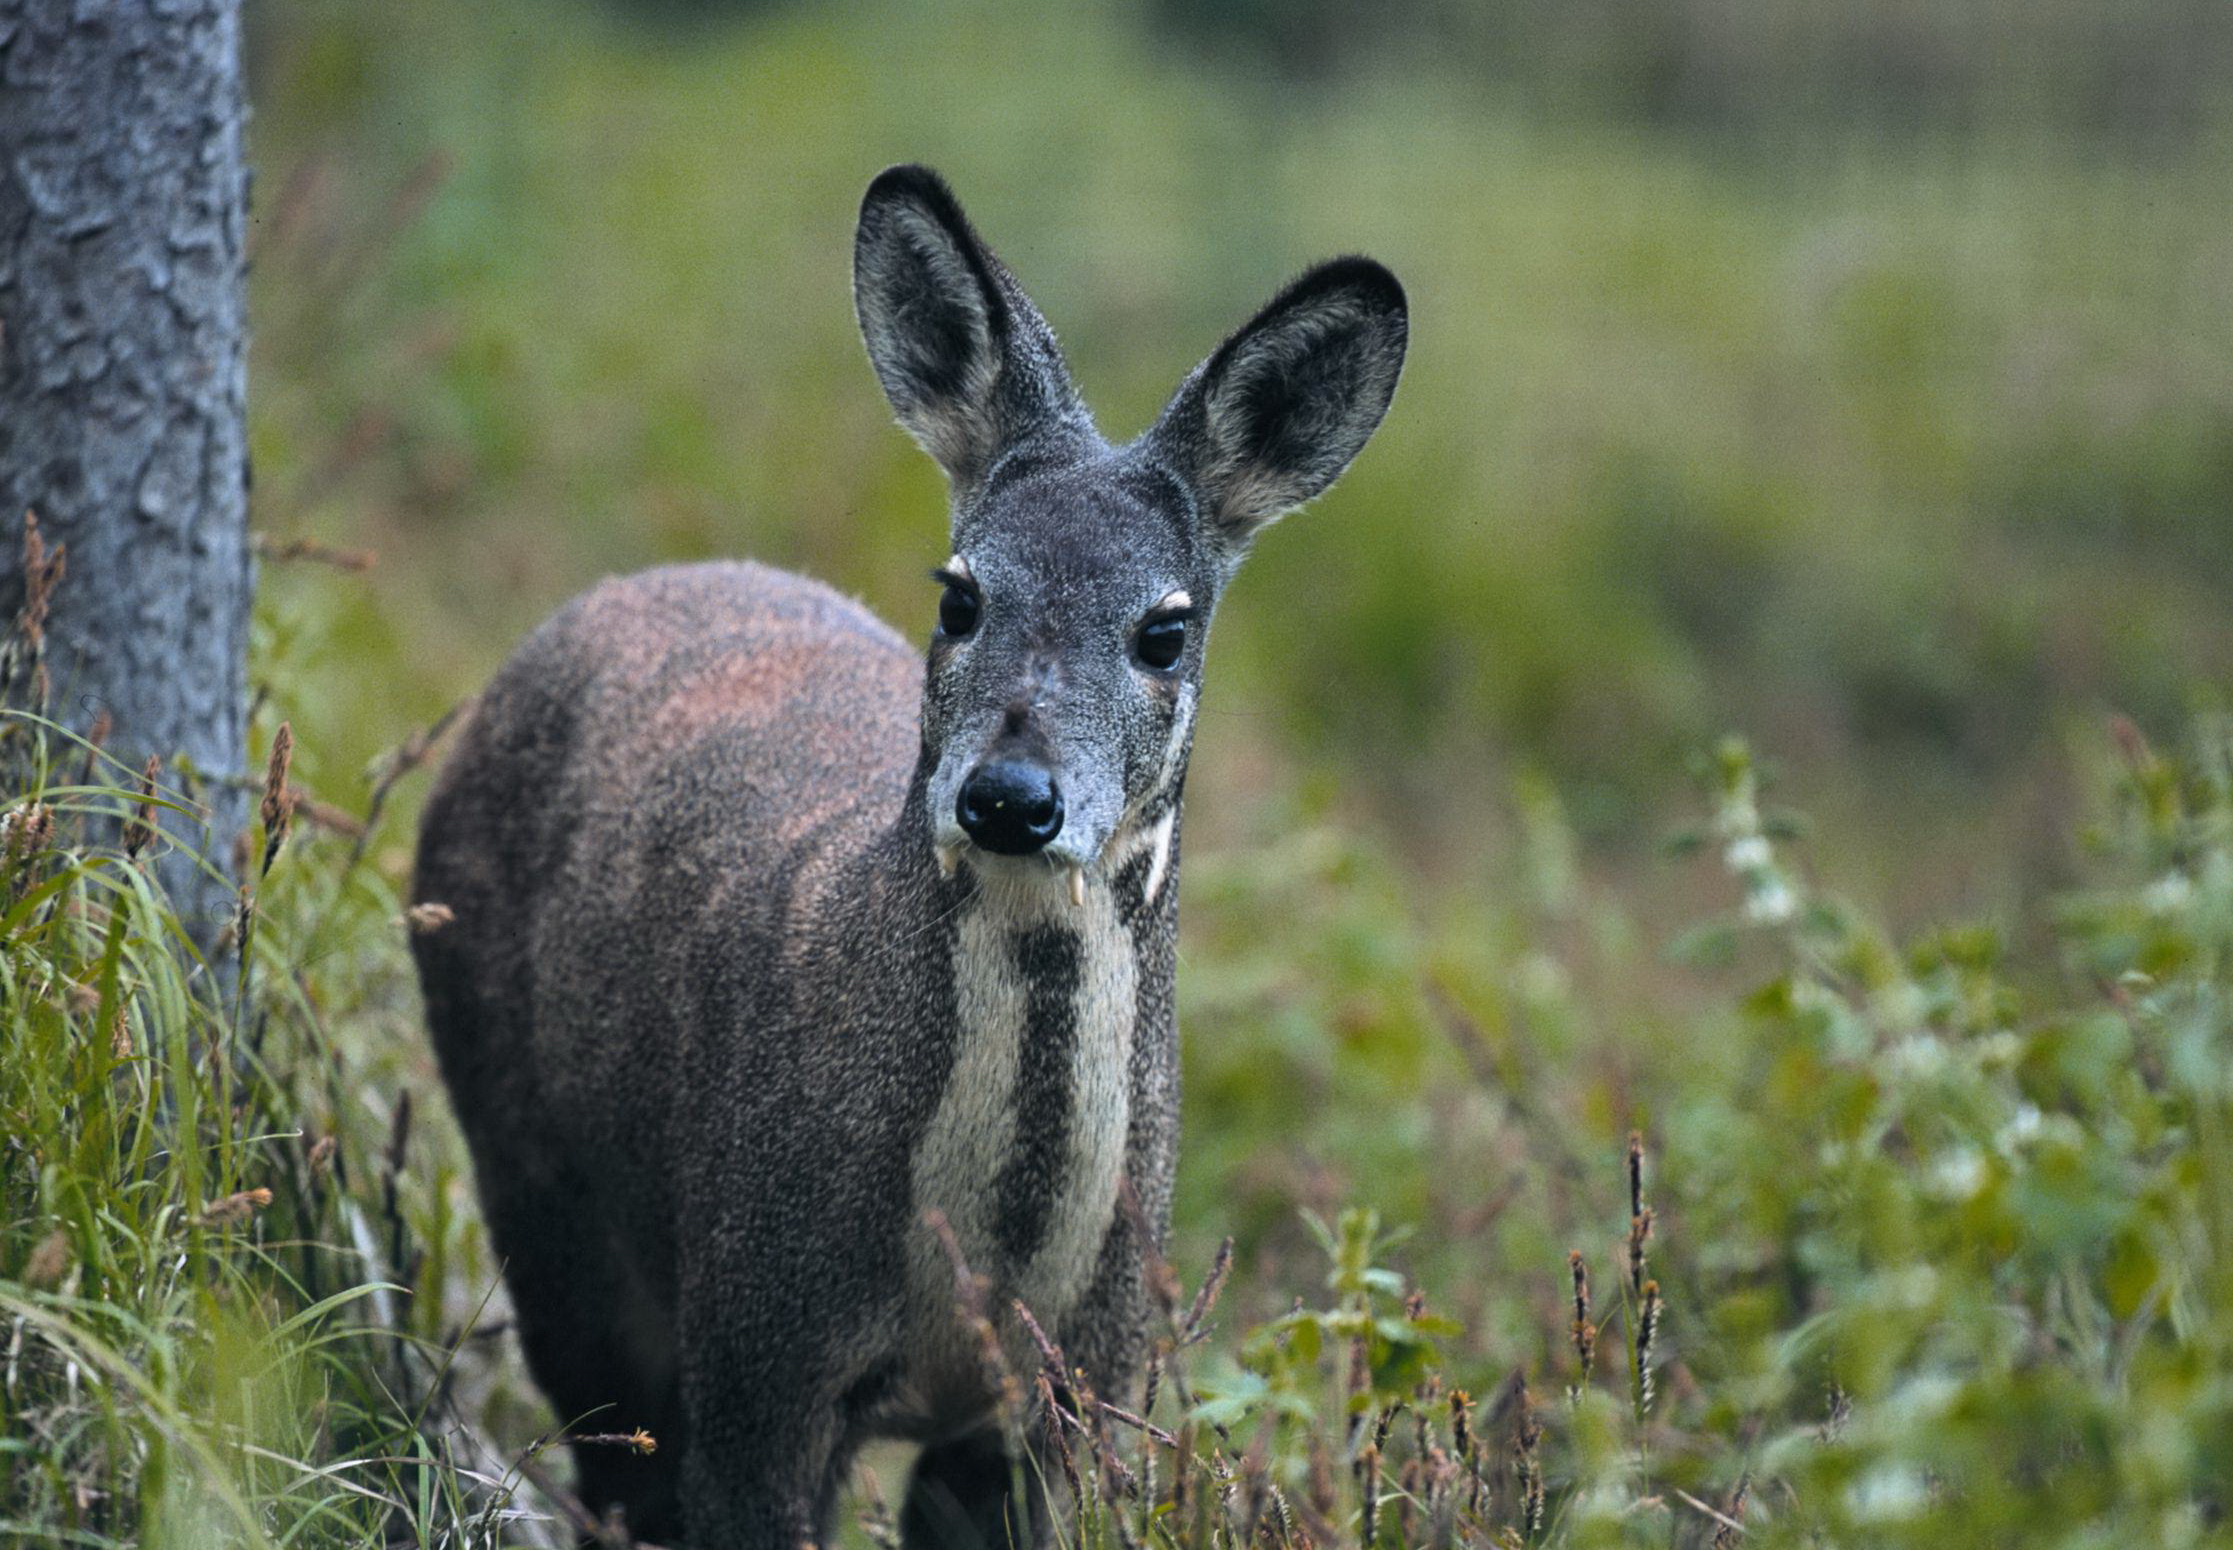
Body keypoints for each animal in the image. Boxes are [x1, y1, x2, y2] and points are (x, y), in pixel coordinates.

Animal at [410, 164, 1402, 1545]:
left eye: (1164, 628)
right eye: (960, 593)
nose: (1010, 797)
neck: (985, 1265)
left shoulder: (1080, 1390)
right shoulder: (759, 1340)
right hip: (543, 1195)